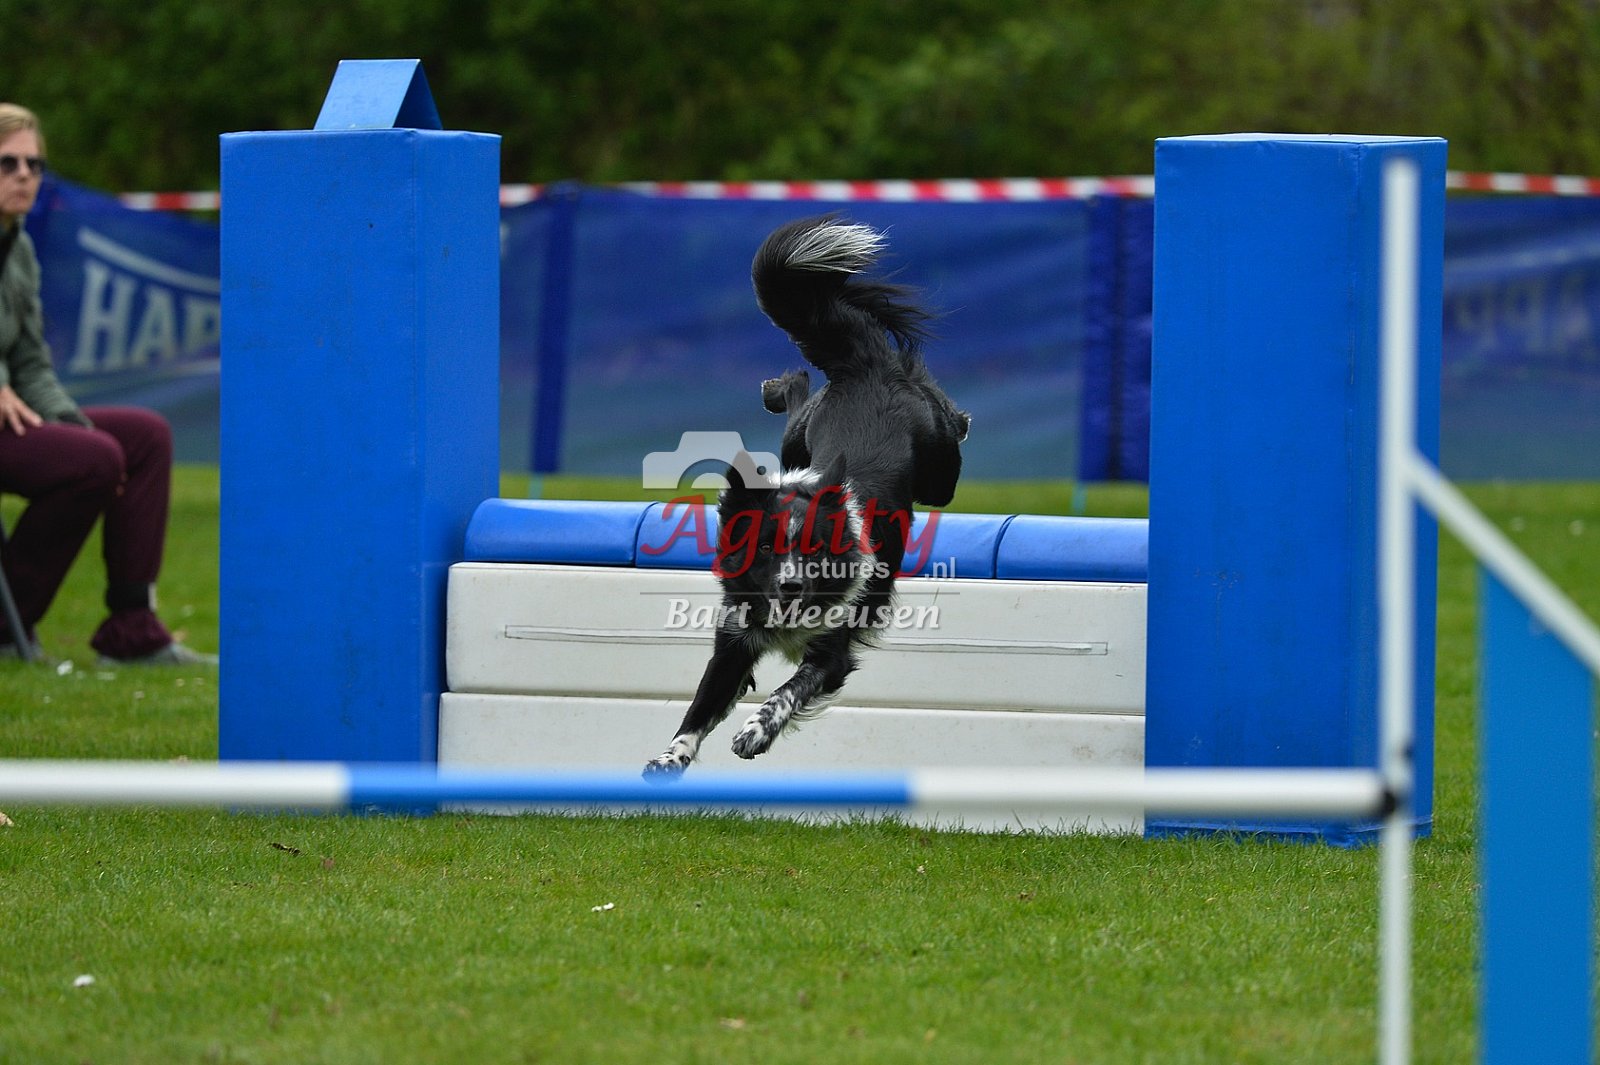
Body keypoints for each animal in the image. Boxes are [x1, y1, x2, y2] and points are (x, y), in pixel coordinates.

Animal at [642, 216, 969, 777]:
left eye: (816, 550)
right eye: (764, 547)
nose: (792, 585)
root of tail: (868, 368)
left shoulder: (833, 654)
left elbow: (789, 690)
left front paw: (755, 731)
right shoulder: (732, 643)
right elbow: (699, 707)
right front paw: (670, 757)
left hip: (937, 472)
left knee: (942, 424)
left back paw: (962, 418)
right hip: (798, 437)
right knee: (797, 402)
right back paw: (779, 385)